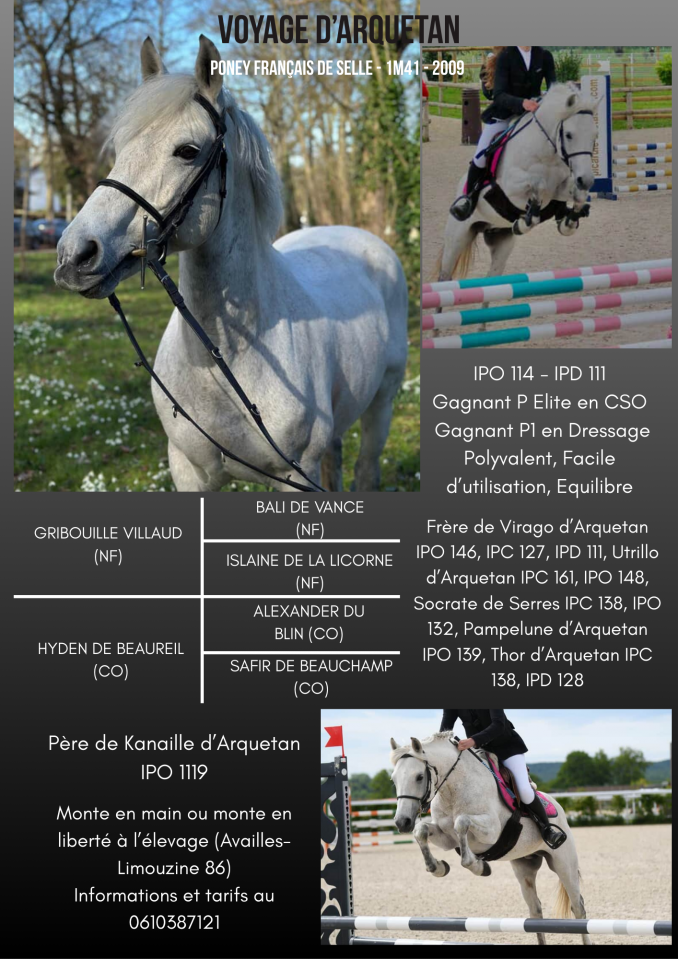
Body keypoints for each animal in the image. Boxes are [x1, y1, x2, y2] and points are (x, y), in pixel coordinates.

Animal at [55, 36, 408, 493]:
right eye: (119, 149)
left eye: (188, 151)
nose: (75, 255)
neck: (223, 361)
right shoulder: (189, 471)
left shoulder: (295, 478)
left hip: (382, 404)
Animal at [390, 733, 592, 946]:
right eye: (393, 780)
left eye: (419, 777)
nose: (402, 822)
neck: (453, 790)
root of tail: (555, 803)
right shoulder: (446, 838)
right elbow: (421, 830)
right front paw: (438, 867)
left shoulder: (491, 831)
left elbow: (461, 823)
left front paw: (479, 866)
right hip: (524, 868)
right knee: (535, 910)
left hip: (563, 864)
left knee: (578, 907)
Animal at [438, 84, 599, 287]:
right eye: (569, 135)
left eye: (595, 136)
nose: (586, 179)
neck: (547, 154)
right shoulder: (510, 187)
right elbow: (539, 185)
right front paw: (525, 220)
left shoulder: (560, 189)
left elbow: (577, 194)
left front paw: (569, 220)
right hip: (457, 236)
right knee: (444, 275)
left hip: (501, 240)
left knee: (492, 277)